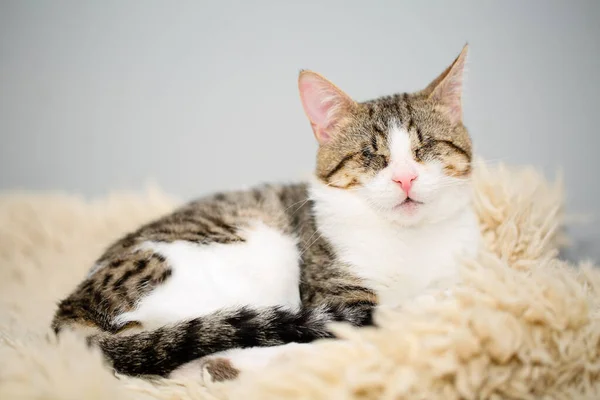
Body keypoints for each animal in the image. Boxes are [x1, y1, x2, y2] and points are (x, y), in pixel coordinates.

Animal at [52, 45, 482, 380]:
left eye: (424, 148)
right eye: (369, 155)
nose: (405, 178)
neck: (411, 239)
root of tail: (72, 307)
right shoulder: (338, 296)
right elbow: (370, 326)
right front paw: (430, 305)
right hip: (255, 258)